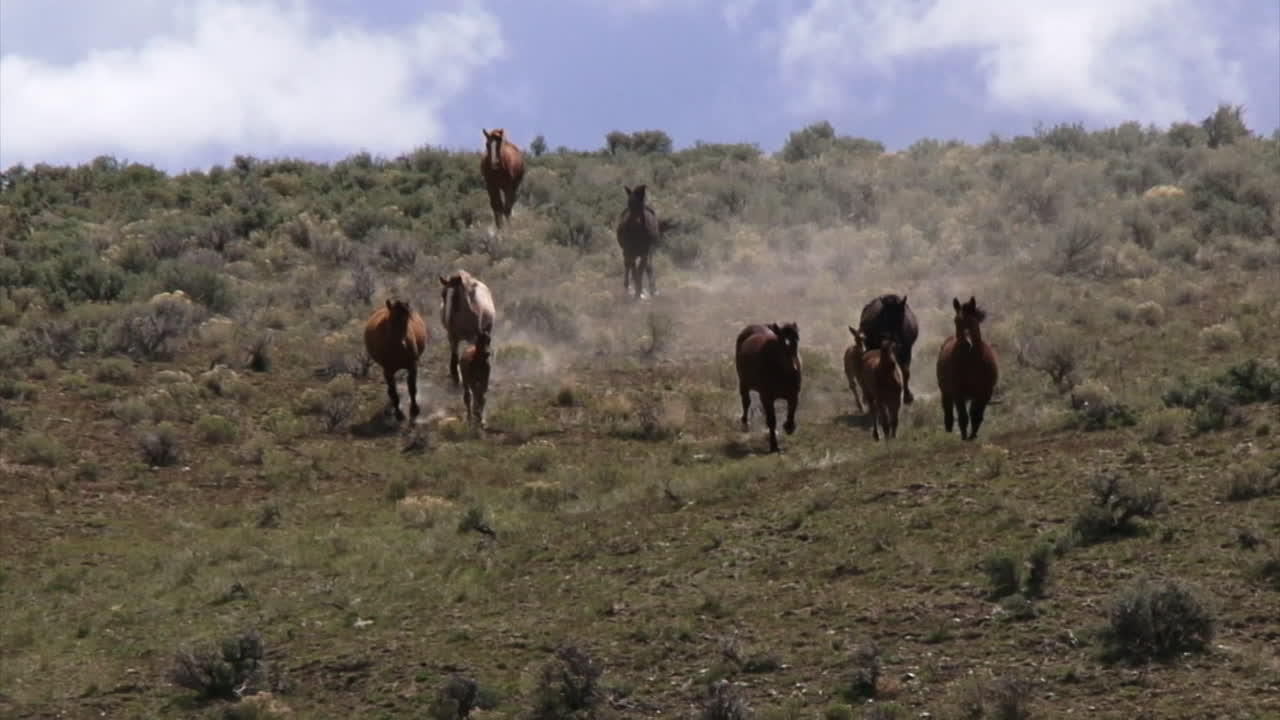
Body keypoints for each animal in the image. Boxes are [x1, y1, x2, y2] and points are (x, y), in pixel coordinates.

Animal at [735, 322, 802, 453]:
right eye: (781, 342)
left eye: (797, 339)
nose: (794, 367)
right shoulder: (767, 397)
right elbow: (771, 421)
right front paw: (774, 446)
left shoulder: (793, 395)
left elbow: (791, 412)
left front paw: (789, 427)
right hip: (743, 382)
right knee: (746, 402)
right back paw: (745, 424)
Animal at [936, 296, 999, 440]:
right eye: (956, 321)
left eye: (973, 320)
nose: (968, 342)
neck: (971, 361)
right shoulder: (958, 392)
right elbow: (963, 416)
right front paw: (965, 437)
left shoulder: (985, 392)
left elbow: (976, 414)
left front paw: (973, 435)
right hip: (946, 392)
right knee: (948, 410)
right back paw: (949, 431)